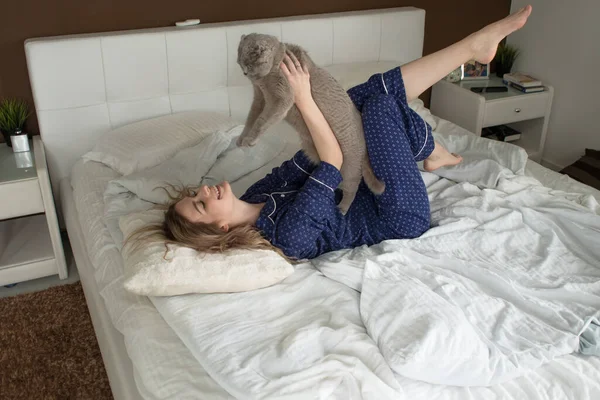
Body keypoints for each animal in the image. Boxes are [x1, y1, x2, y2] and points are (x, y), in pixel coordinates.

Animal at [236, 32, 384, 214]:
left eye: (249, 64)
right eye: (239, 62)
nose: (244, 72)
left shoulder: (280, 98)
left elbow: (262, 120)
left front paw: (250, 140)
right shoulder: (259, 99)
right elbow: (251, 119)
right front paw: (241, 139)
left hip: (347, 168)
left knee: (353, 186)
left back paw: (342, 208)